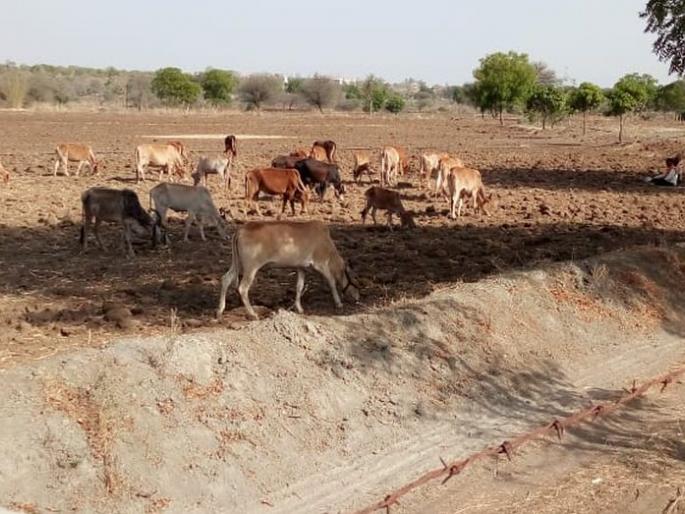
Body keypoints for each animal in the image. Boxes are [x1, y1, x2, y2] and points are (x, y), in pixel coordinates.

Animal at [216, 220, 360, 320]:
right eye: (356, 280)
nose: (358, 297)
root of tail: (241, 229)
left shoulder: (301, 267)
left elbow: (299, 287)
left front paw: (299, 308)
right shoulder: (321, 264)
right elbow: (332, 282)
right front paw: (339, 303)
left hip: (237, 264)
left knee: (226, 279)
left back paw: (220, 310)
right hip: (251, 267)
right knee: (243, 288)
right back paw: (252, 314)